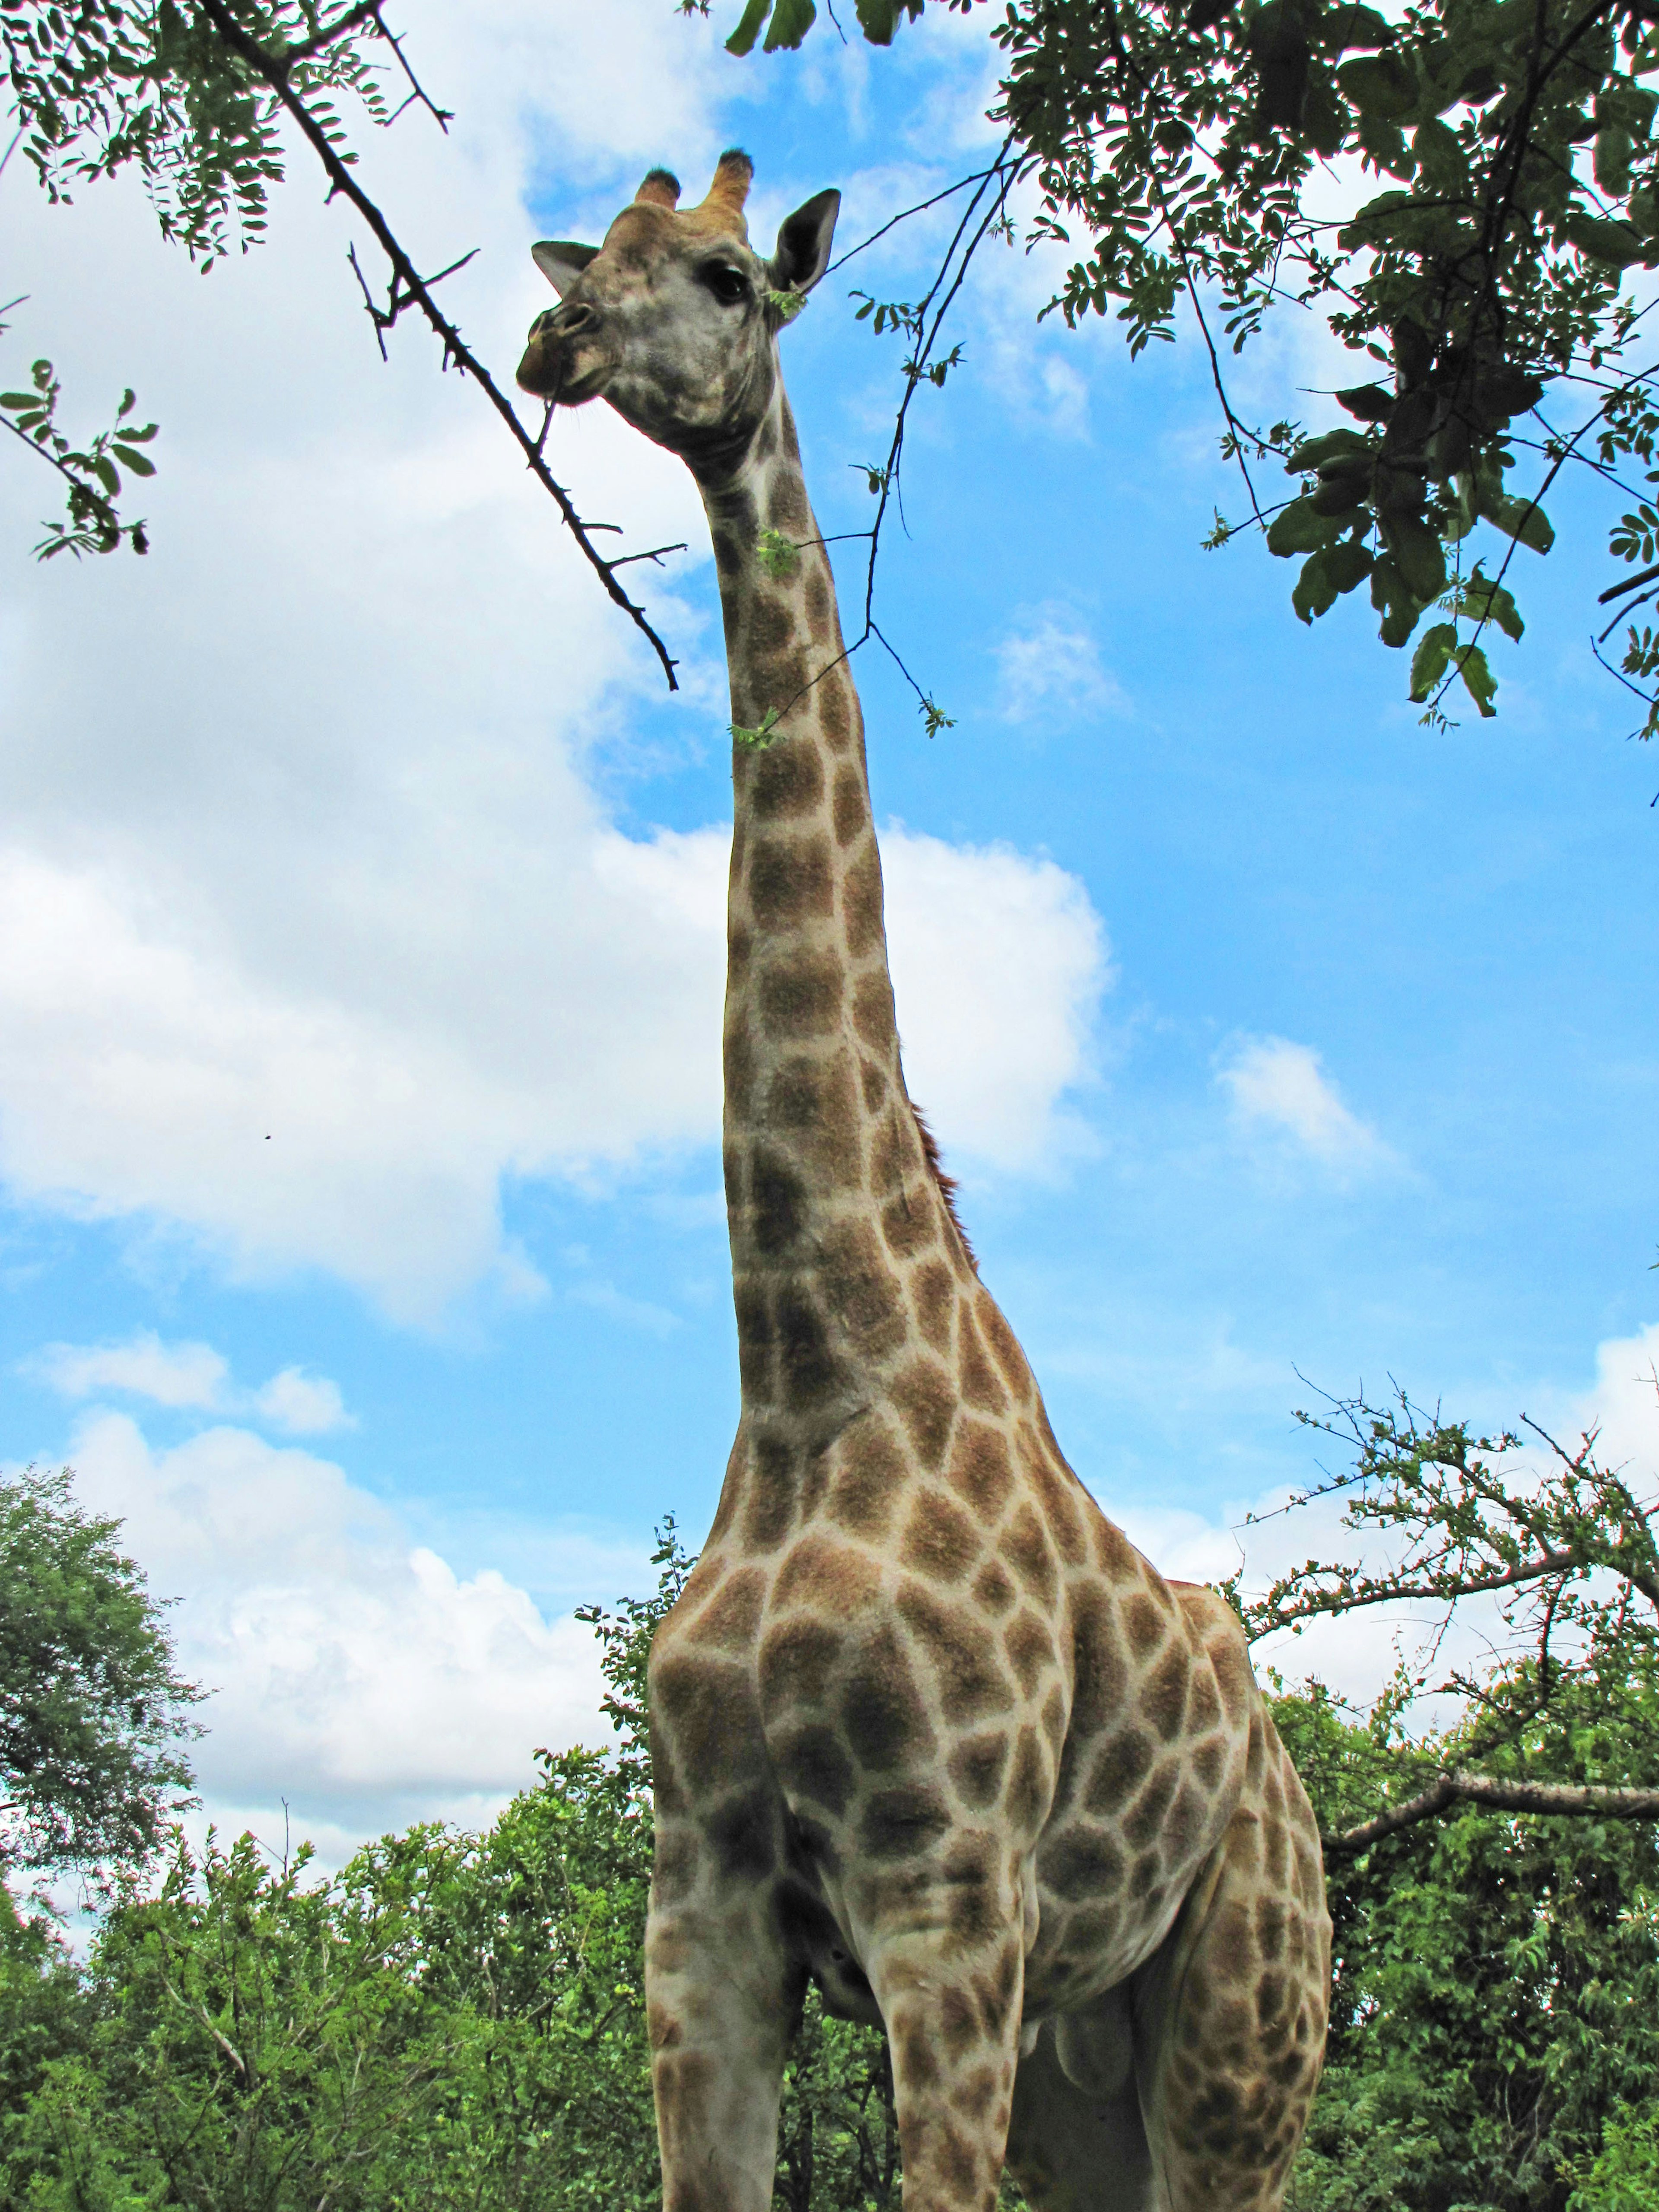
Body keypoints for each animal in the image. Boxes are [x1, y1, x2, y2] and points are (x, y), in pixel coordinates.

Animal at [520, 156, 1336, 2212]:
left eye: (728, 274)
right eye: (593, 247)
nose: (557, 343)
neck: (809, 1375)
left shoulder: (944, 1896)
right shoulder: (701, 1906)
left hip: (1242, 2028)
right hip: (1083, 2062)